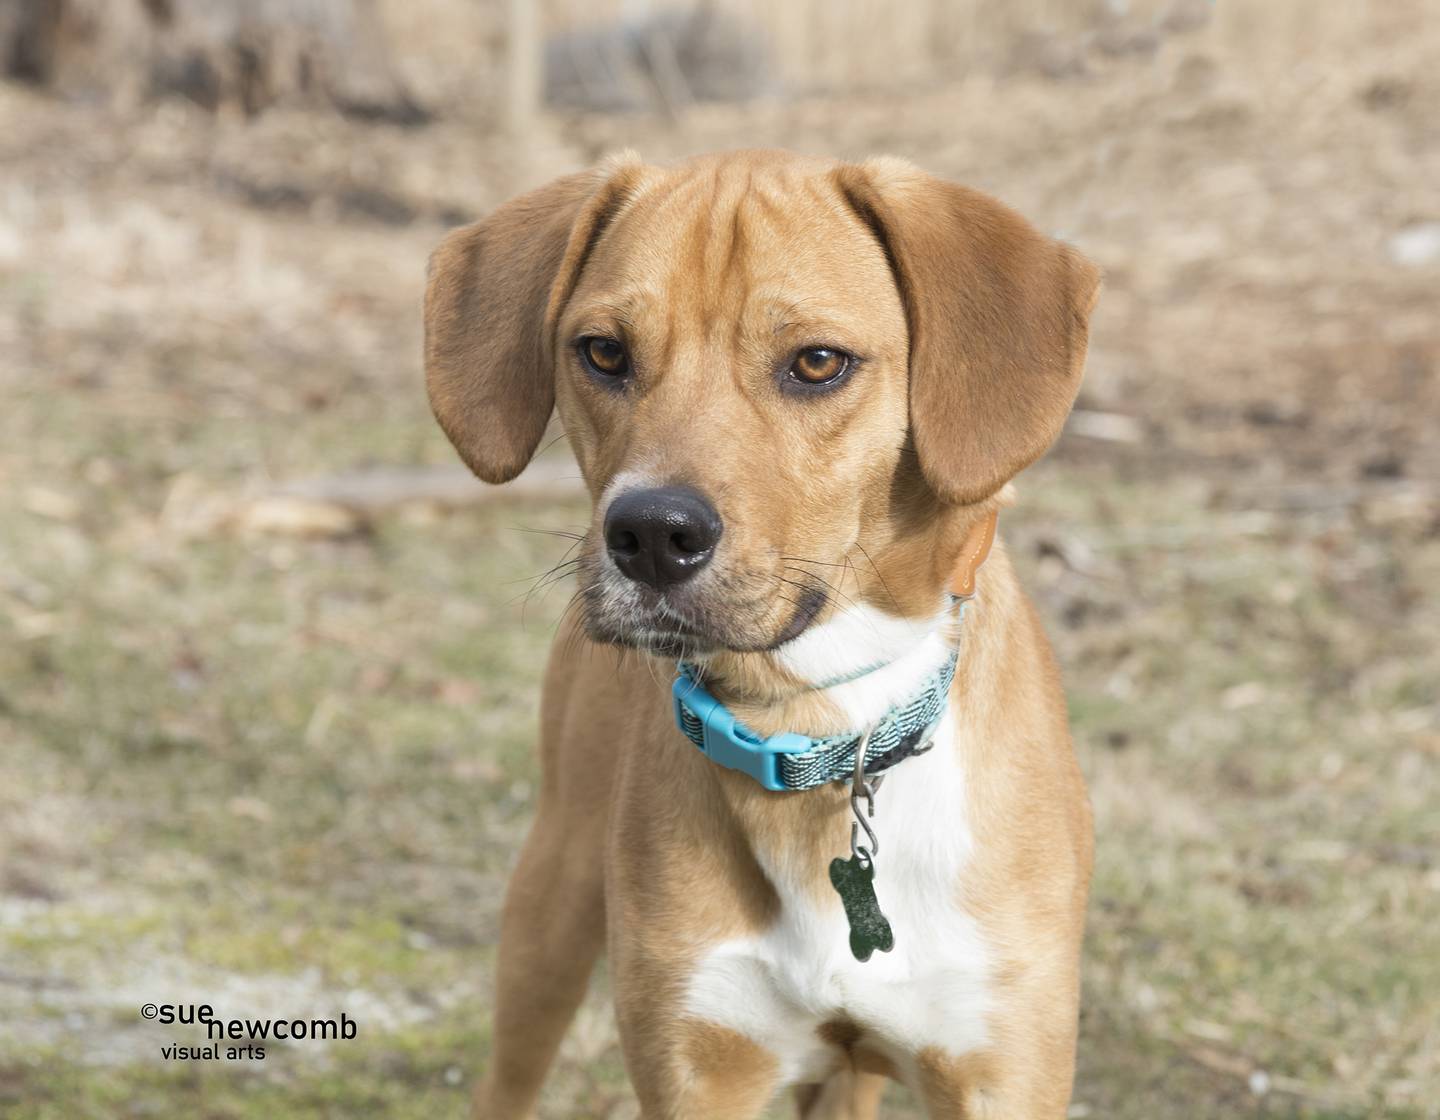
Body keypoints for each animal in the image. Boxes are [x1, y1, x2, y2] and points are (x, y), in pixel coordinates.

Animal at [420, 150, 1094, 1117]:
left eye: (816, 362)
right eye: (604, 352)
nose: (650, 533)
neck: (820, 725)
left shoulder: (1001, 1070)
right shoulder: (697, 1064)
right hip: (547, 912)